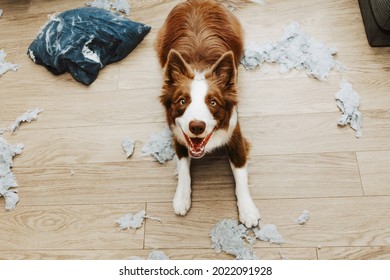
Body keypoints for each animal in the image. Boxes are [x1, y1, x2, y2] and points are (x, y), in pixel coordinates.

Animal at [155, 0, 258, 228]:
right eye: (182, 101)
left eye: (212, 102)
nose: (196, 126)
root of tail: (197, 1)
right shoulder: (178, 132)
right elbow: (183, 165)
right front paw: (181, 198)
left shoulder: (235, 134)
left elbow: (241, 173)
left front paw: (247, 210)